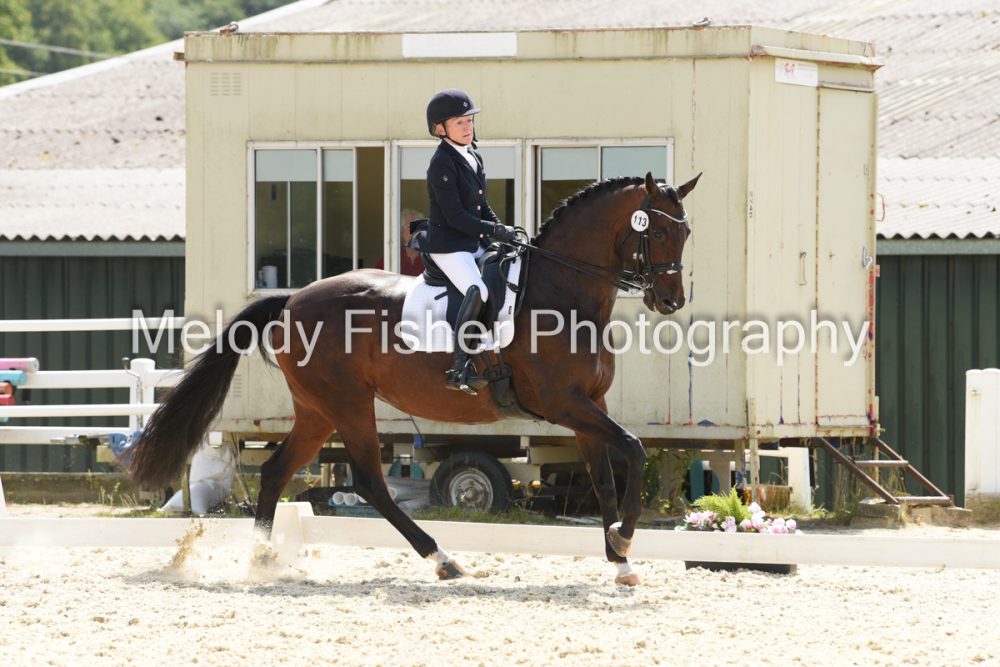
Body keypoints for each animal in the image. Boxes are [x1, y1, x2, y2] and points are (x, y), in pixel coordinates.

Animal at [129, 171, 700, 586]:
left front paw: (620, 561)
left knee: (274, 472)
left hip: (317, 410)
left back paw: (263, 557)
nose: (670, 301)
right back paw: (442, 559)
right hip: (348, 404)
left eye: (686, 232)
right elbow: (636, 451)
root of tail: (291, 299)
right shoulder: (563, 403)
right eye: (657, 230)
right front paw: (624, 540)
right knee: (369, 482)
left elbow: (604, 478)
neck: (562, 293)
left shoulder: (587, 407)